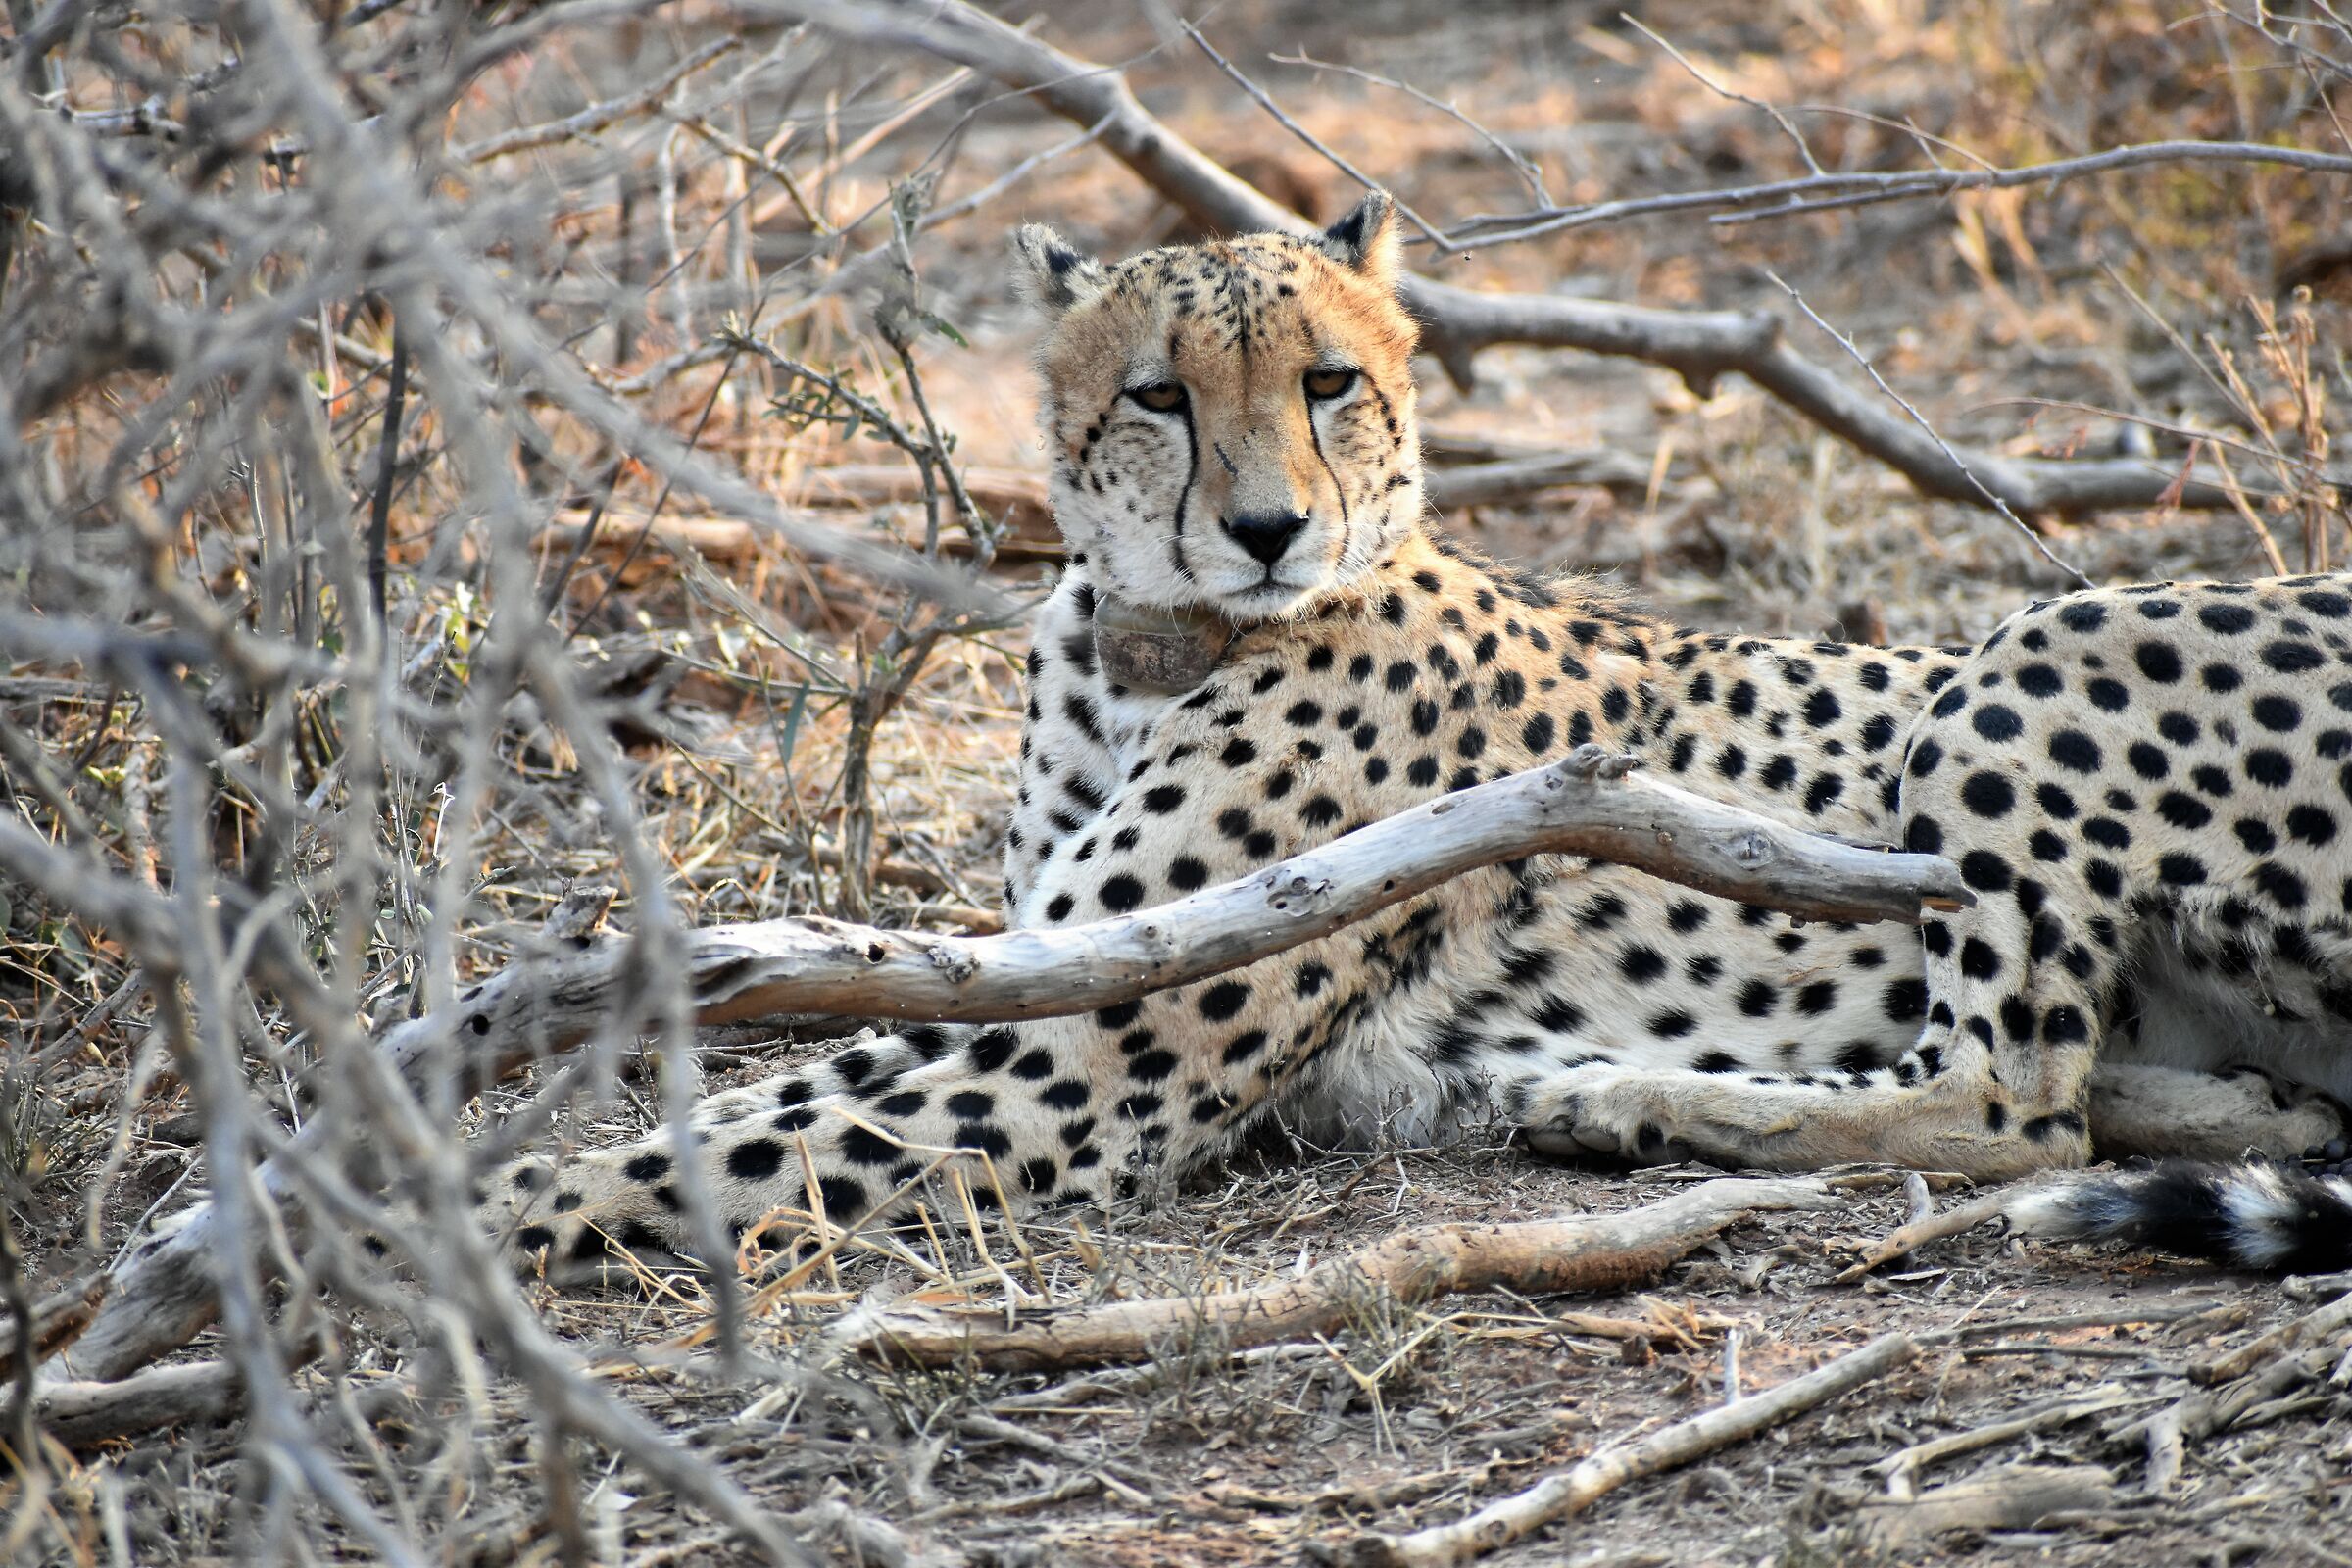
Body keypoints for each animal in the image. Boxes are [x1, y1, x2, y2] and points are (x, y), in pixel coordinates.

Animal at [480, 193, 2352, 1276]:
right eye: (1159, 397)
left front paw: (463, 1233)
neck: (1145, 642)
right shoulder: (1038, 985)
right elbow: (783, 1081)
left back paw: (1635, 1099)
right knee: (2179, 1105)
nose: (1265, 531)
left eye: (1327, 384)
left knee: (2012, 1109)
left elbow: (731, 1151)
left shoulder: (1087, 1065)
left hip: (2052, 637)